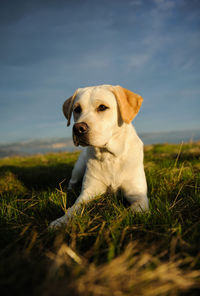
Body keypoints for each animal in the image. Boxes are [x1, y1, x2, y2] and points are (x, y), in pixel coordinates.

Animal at [49, 84, 148, 228]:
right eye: (77, 109)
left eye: (102, 107)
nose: (78, 128)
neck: (109, 156)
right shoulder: (88, 192)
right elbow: (73, 209)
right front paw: (60, 222)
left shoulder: (140, 198)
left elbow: (124, 214)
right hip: (78, 167)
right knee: (72, 181)